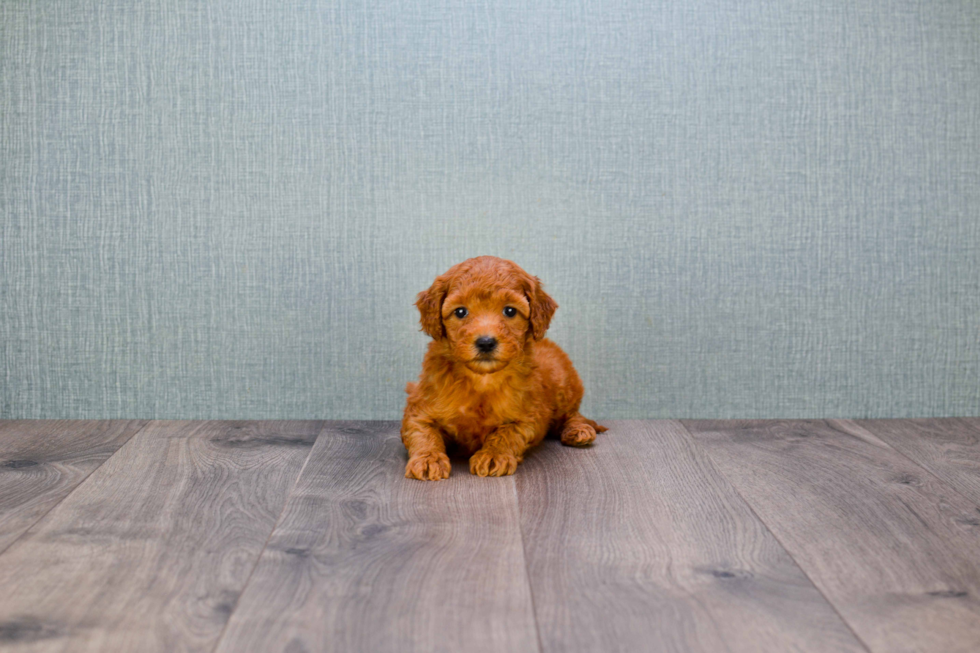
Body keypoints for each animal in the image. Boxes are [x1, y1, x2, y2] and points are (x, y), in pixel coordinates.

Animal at [398, 256, 604, 478]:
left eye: (510, 310)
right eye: (460, 311)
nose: (486, 342)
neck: (482, 379)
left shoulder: (529, 415)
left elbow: (508, 433)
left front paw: (493, 455)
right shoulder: (418, 406)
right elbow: (423, 432)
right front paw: (428, 459)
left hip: (564, 386)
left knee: (573, 414)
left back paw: (579, 430)